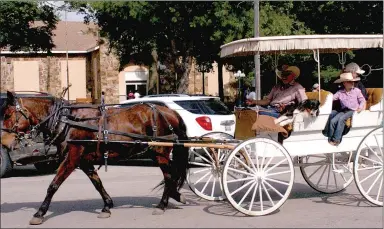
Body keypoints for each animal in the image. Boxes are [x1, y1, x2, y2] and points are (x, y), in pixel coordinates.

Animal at [1, 91, 190, 224]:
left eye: (7, 115)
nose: (4, 140)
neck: (67, 122)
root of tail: (170, 112)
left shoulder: (72, 157)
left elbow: (53, 185)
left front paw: (40, 213)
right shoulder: (84, 160)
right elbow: (97, 183)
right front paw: (107, 206)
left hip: (160, 151)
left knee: (169, 175)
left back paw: (162, 204)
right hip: (156, 153)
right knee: (173, 173)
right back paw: (176, 196)